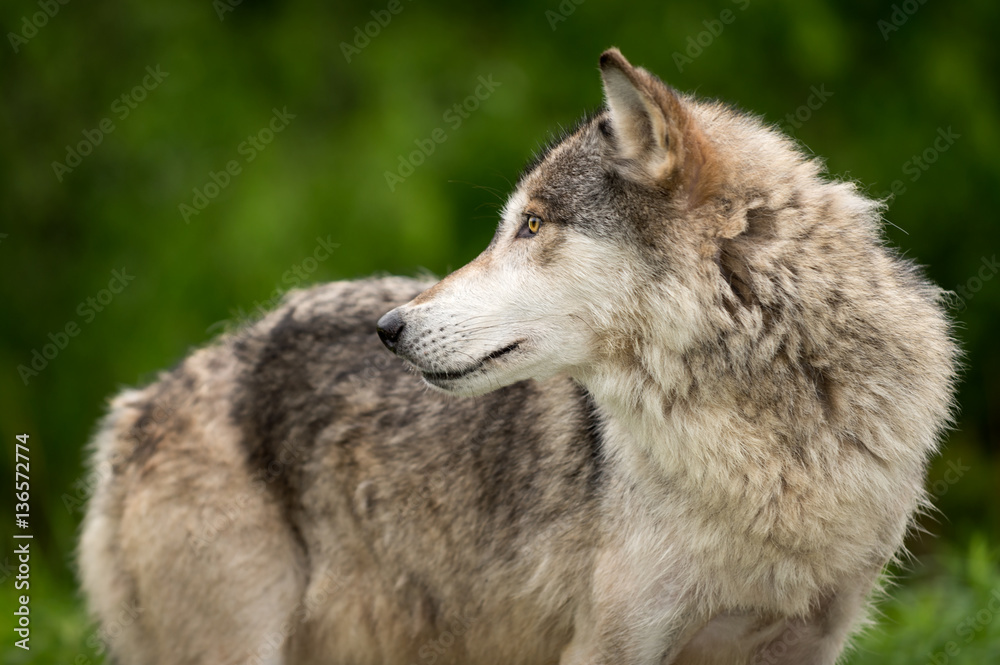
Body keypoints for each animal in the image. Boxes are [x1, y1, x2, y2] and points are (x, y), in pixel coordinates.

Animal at [79, 49, 957, 664]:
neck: (772, 436)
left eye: (532, 225)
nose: (388, 328)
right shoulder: (611, 644)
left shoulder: (808, 642)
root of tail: (137, 404)